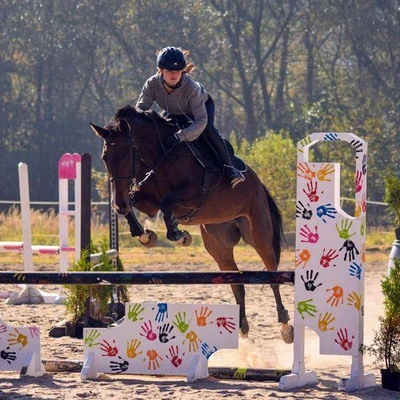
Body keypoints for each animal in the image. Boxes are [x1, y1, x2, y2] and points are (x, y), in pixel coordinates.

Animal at [92, 104, 296, 342]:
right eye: (105, 158)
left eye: (126, 155)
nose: (118, 204)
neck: (160, 157)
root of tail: (258, 183)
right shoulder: (147, 200)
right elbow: (139, 203)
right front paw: (145, 235)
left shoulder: (195, 195)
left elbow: (167, 203)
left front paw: (180, 235)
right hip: (218, 245)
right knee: (236, 283)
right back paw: (243, 329)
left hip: (259, 233)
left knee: (272, 274)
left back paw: (285, 326)